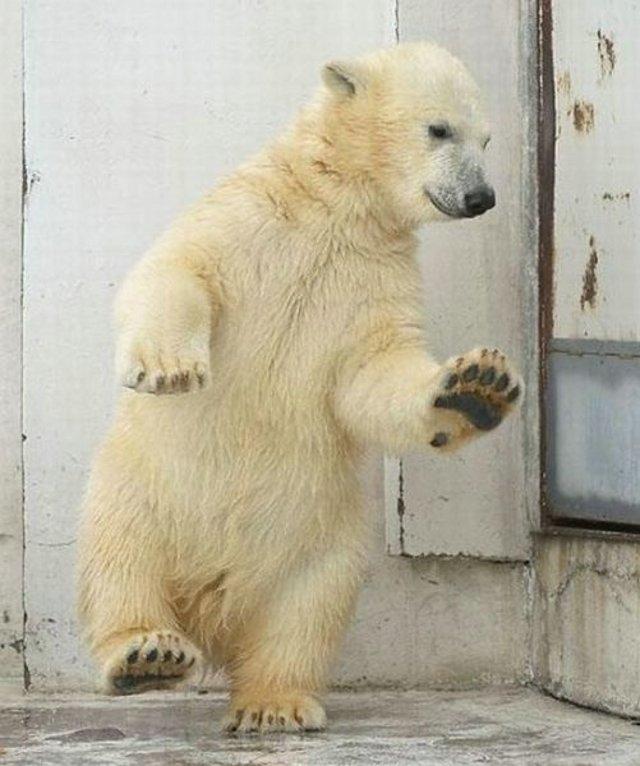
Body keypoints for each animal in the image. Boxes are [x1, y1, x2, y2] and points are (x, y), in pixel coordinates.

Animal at [77, 41, 522, 733]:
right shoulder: (251, 221)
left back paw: (274, 702)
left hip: (322, 536)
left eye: (488, 138)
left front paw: (477, 386)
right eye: (439, 128)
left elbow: (376, 369)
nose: (482, 196)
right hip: (137, 491)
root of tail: (215, 607)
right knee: (121, 563)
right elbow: (178, 267)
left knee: (307, 609)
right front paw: (171, 368)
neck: (336, 207)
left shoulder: (373, 278)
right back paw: (146, 653)